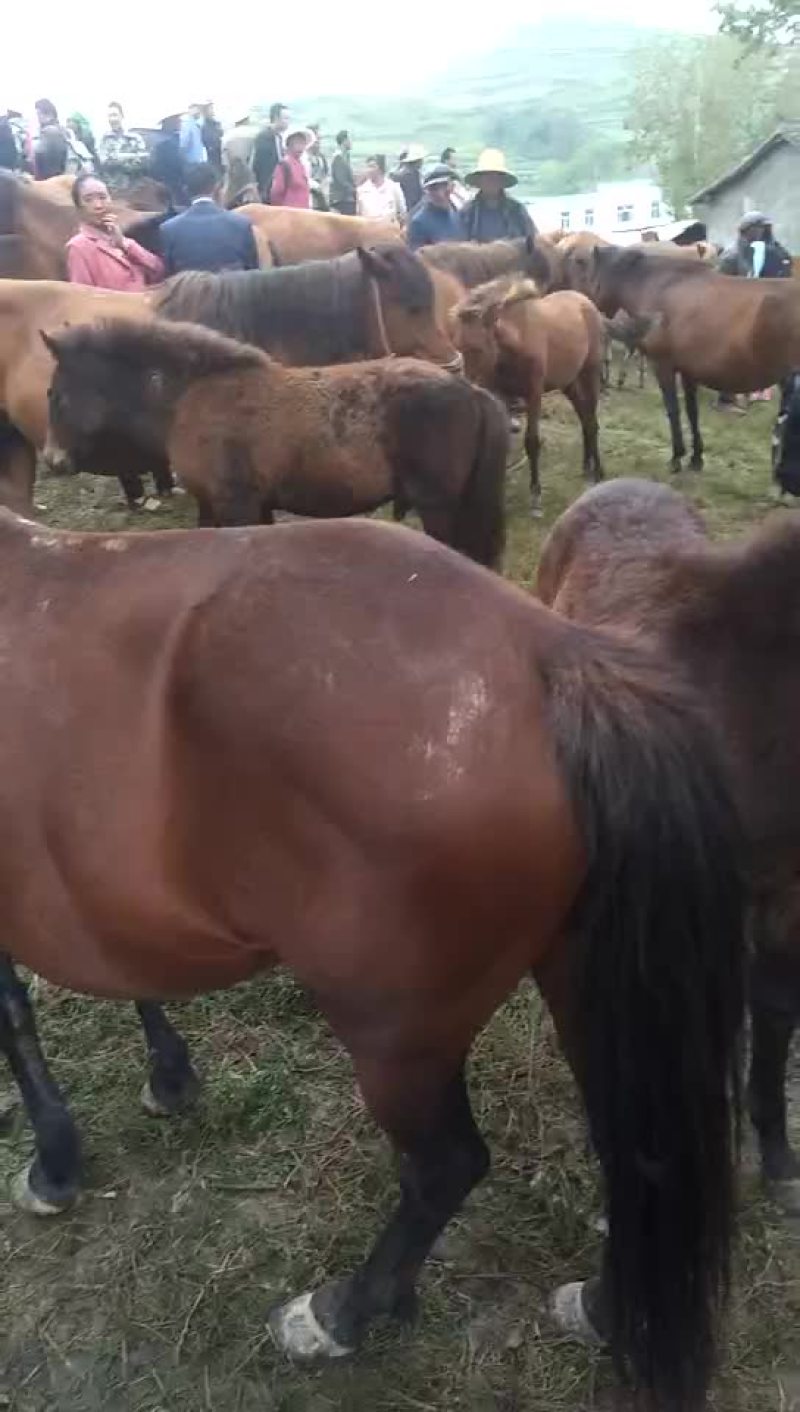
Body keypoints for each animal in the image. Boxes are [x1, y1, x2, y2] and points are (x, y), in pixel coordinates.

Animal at [0, 509, 744, 1412]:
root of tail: (552, 652)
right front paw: (167, 1079)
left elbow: (16, 1017)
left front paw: (54, 1162)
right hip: (592, 988)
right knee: (637, 1148)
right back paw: (603, 1307)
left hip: (397, 1038)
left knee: (445, 1167)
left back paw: (345, 1312)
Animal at [42, 318, 508, 566]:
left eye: (55, 395)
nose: (51, 459)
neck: (191, 398)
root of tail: (470, 390)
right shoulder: (244, 506)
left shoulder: (233, 505)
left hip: (438, 505)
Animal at [452, 275, 604, 515]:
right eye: (458, 345)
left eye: (477, 349)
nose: (469, 386)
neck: (517, 341)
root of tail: (585, 301)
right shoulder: (501, 394)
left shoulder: (533, 395)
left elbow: (532, 441)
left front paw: (536, 495)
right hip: (568, 382)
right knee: (584, 418)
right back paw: (586, 467)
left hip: (591, 373)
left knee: (591, 421)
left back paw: (597, 472)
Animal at [560, 243, 800, 471]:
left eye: (588, 272)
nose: (581, 306)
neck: (657, 286)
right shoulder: (688, 372)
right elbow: (692, 412)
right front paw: (696, 458)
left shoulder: (663, 366)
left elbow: (673, 410)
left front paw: (677, 457)